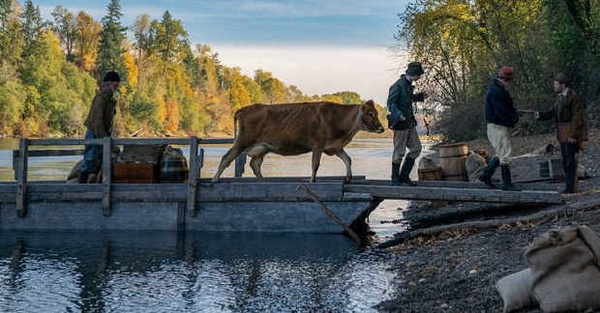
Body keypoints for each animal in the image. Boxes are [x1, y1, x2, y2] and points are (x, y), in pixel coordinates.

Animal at [212, 99, 384, 183]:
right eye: (370, 114)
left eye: (375, 113)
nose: (382, 128)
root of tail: (245, 108)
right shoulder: (318, 145)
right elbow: (315, 164)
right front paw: (312, 180)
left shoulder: (334, 147)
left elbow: (348, 159)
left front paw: (348, 177)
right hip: (243, 140)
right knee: (227, 157)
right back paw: (215, 179)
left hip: (262, 147)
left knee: (255, 164)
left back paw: (263, 180)